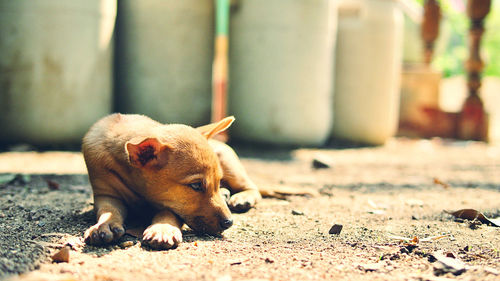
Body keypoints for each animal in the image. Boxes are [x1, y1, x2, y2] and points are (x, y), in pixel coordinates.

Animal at [81, 112, 262, 248]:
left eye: (218, 180)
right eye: (196, 185)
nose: (229, 223)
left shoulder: (171, 204)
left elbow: (168, 213)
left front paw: (163, 229)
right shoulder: (106, 194)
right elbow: (108, 210)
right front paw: (105, 225)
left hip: (229, 163)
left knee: (252, 188)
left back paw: (241, 198)